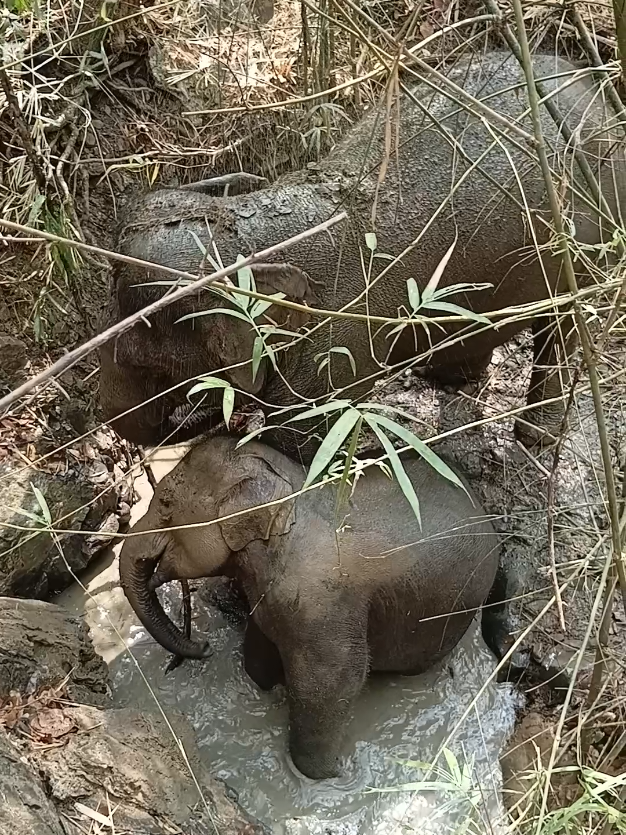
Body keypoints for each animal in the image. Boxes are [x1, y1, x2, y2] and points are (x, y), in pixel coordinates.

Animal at [100, 50, 625, 462]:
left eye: (148, 366)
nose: (215, 412)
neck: (259, 228)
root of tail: (597, 90)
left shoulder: (342, 338)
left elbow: (301, 442)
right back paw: (444, 377)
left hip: (590, 236)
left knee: (564, 327)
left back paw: (534, 439)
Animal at [119, 434, 514, 779]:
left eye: (166, 503)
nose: (203, 646)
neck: (292, 486)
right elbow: (257, 660)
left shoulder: (323, 605)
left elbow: (332, 682)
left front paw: (331, 777)